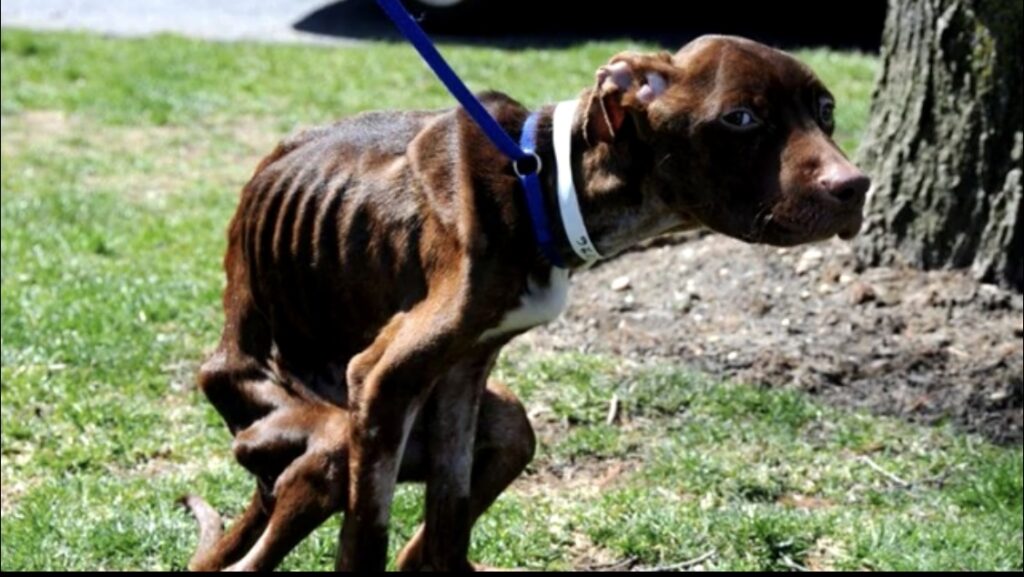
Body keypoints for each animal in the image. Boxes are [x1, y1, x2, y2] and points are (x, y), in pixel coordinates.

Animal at [184, 36, 864, 573]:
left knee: (434, 530)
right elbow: (364, 543)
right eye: (741, 118)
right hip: (320, 441)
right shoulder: (382, 381)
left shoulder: (462, 368)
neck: (543, 180)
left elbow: (449, 519)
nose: (856, 187)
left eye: (826, 111)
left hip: (504, 424)